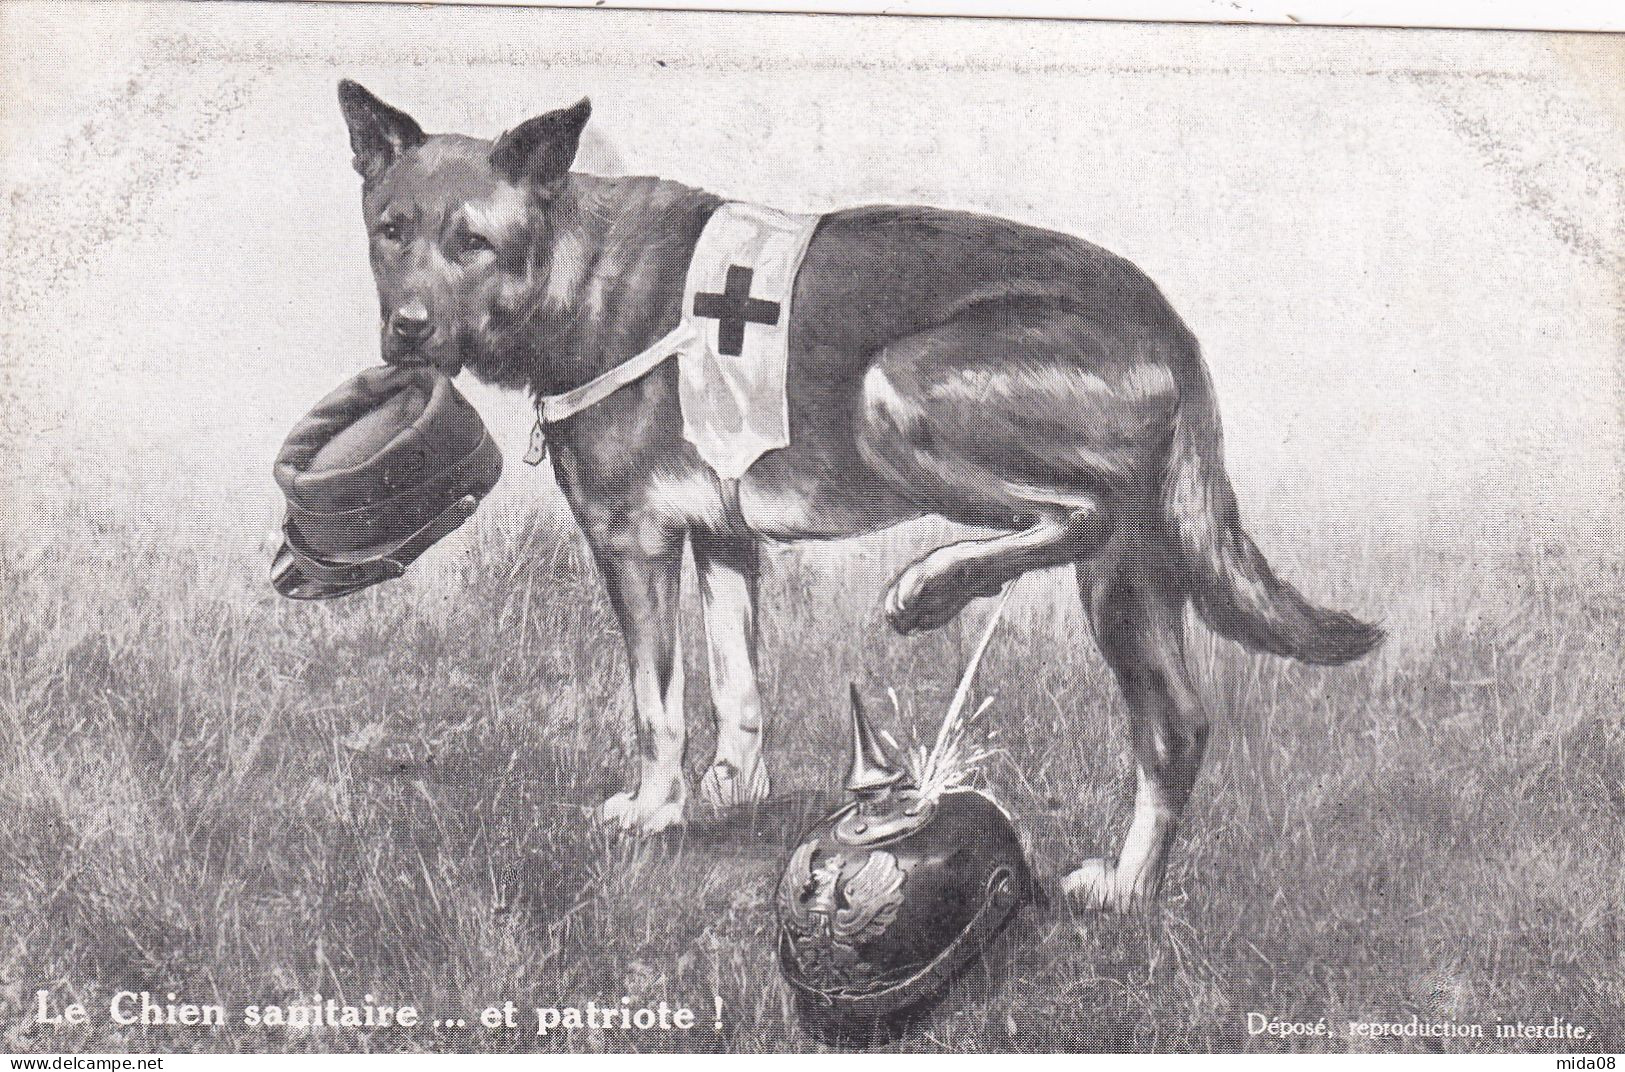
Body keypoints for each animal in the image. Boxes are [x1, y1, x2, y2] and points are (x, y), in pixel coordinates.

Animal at [336, 79, 1378, 909]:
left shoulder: (633, 544)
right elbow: (739, 688)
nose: (407, 330)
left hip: (898, 392)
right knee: (1173, 727)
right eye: (391, 233)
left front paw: (658, 809)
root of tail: (1168, 321)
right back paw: (1128, 889)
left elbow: (655, 703)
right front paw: (731, 789)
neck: (574, 271)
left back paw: (933, 586)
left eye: (472, 242)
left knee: (1076, 516)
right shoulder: (723, 543)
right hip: (1130, 576)